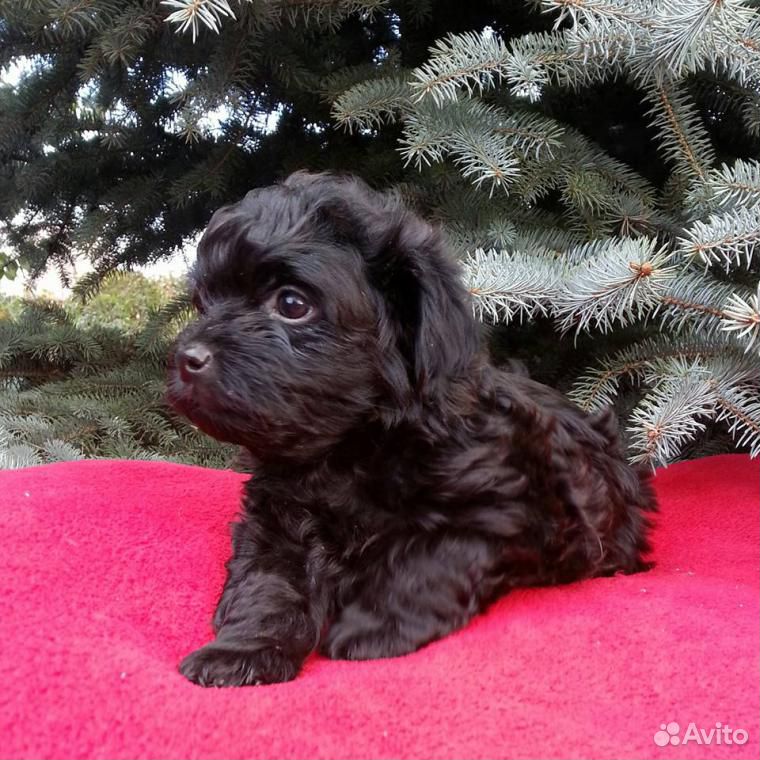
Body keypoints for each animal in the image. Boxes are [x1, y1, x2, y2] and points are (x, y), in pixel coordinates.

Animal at [169, 172, 656, 688]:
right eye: (204, 302)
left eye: (291, 304)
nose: (186, 358)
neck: (350, 445)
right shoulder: (275, 521)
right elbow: (268, 582)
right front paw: (242, 649)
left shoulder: (496, 508)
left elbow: (424, 559)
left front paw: (374, 627)